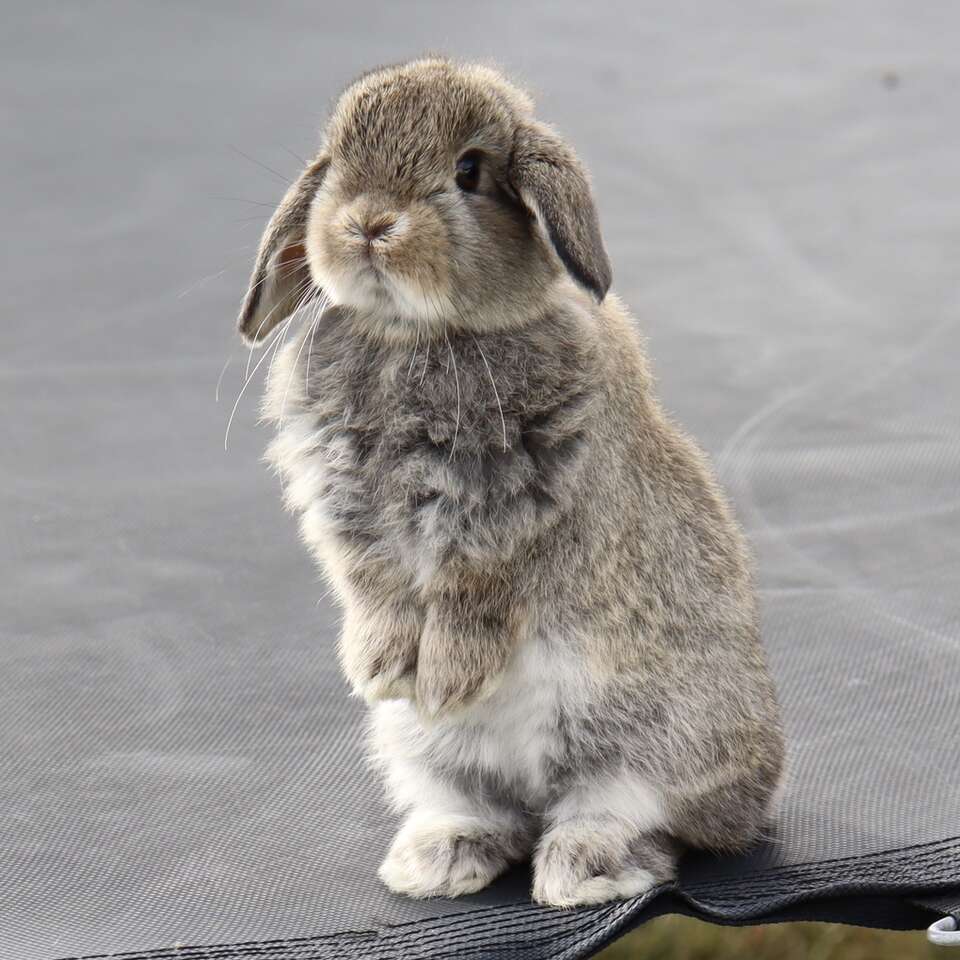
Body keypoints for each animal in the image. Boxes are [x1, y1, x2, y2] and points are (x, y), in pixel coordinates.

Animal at [236, 58, 784, 908]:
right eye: (336, 161)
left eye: (469, 171)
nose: (369, 224)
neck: (418, 331)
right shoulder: (349, 522)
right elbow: (375, 588)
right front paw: (379, 669)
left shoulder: (510, 522)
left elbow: (472, 597)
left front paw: (445, 678)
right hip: (432, 758)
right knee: (494, 814)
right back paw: (435, 861)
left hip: (647, 741)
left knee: (636, 825)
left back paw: (582, 871)